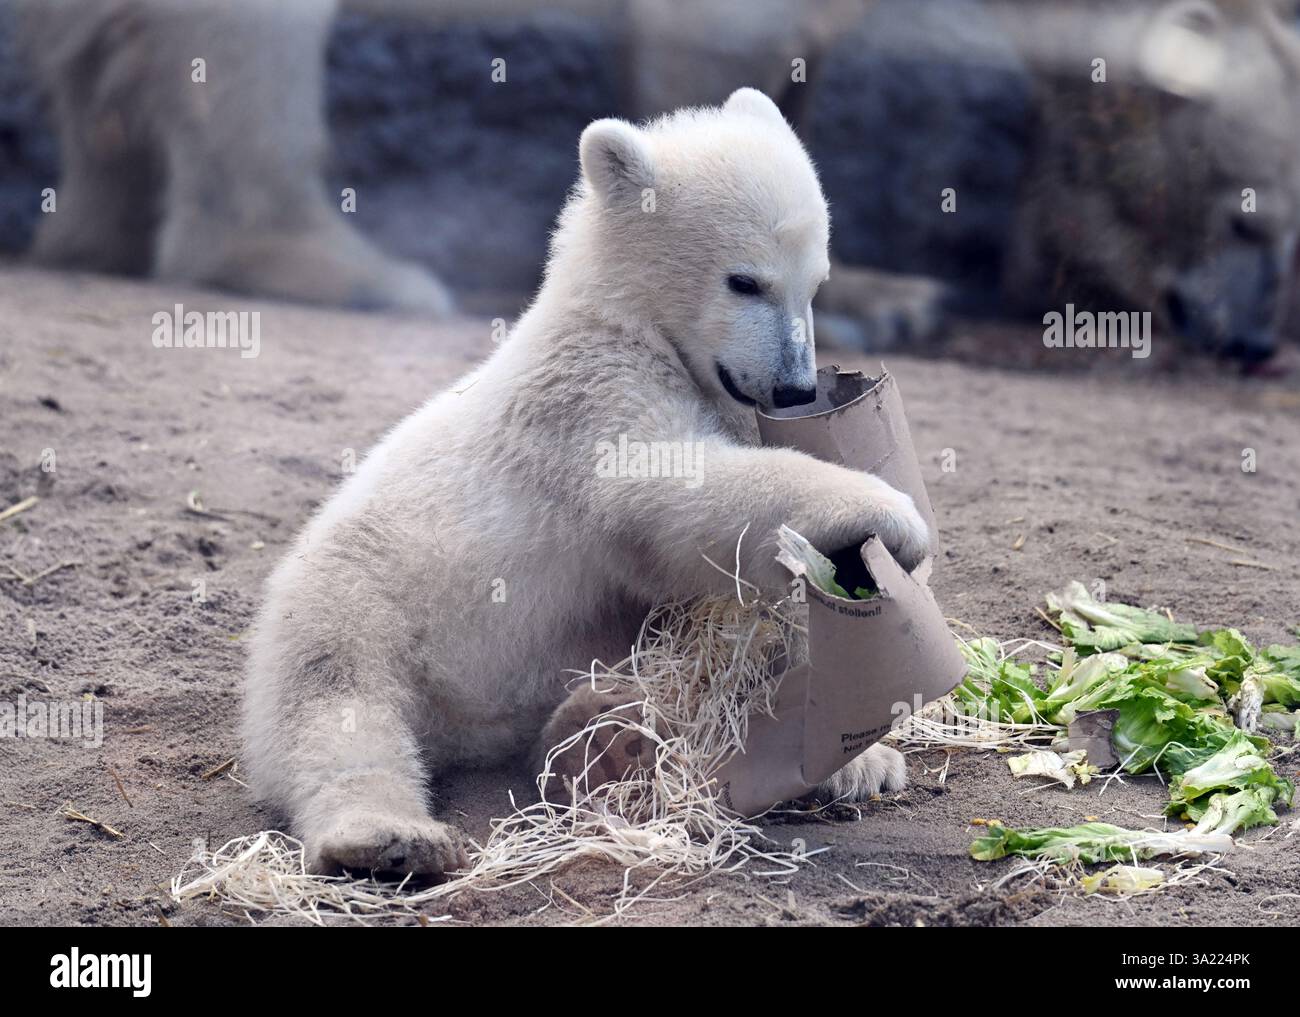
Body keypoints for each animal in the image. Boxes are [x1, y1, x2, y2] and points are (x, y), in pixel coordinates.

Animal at [241, 88, 929, 877]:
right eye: (745, 281)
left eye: (815, 285)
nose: (794, 387)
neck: (623, 316)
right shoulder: (587, 395)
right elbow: (671, 492)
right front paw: (889, 515)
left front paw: (865, 757)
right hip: (355, 593)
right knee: (335, 701)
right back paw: (385, 837)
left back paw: (603, 733)